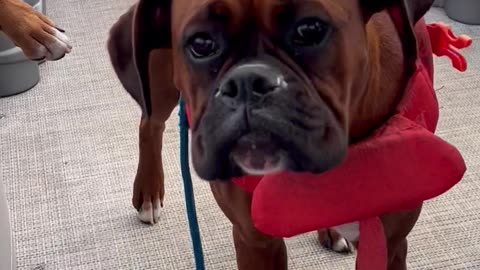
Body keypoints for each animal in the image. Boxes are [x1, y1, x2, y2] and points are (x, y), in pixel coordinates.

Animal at [108, 1, 436, 268]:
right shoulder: (256, 242)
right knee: (150, 122)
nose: (247, 81)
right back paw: (149, 192)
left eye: (310, 29)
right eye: (201, 43)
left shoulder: (390, 245)